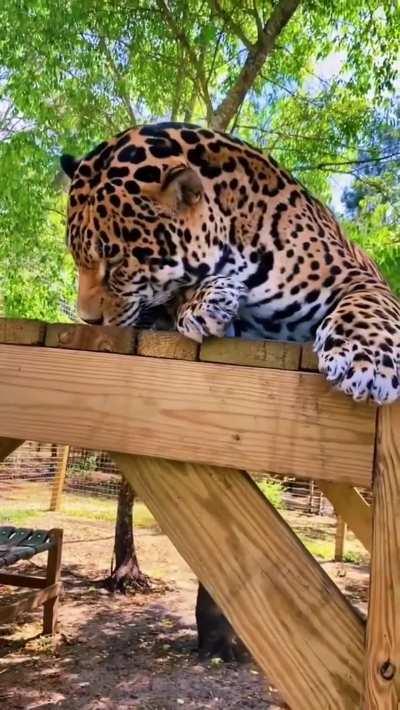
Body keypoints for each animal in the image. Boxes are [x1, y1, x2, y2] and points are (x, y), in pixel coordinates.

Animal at [61, 121, 400, 405]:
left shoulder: (358, 279)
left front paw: (367, 360)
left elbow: (366, 307)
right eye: (77, 260)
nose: (89, 321)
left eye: (116, 260)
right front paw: (204, 301)